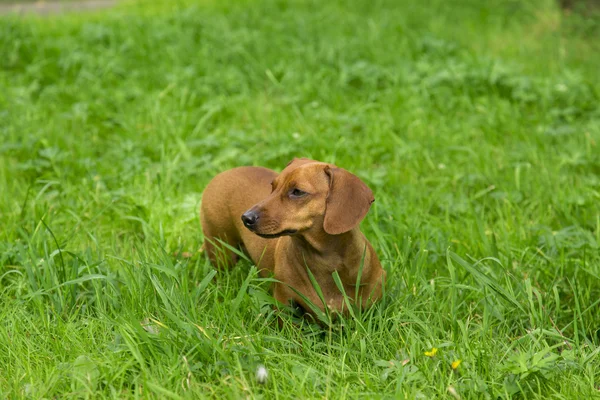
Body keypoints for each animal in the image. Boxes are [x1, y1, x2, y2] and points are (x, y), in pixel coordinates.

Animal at [199, 158, 386, 318]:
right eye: (273, 186)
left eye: (297, 192)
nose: (246, 218)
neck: (326, 263)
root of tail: (223, 173)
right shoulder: (284, 301)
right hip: (220, 250)